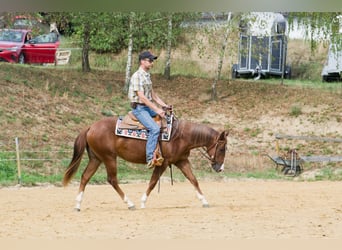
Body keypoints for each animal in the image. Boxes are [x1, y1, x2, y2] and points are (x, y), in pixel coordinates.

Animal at [63, 115, 230, 211]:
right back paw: (130, 203)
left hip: (96, 158)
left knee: (85, 177)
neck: (180, 135)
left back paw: (77, 205)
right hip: (109, 157)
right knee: (112, 180)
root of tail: (90, 126)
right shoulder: (163, 163)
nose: (220, 168)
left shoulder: (181, 160)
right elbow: (153, 181)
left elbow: (193, 180)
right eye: (222, 148)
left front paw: (204, 201)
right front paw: (143, 202)